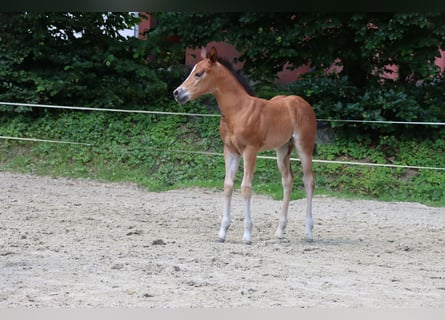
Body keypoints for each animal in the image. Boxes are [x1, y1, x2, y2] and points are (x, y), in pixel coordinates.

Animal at [173, 46, 316, 244]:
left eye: (199, 73)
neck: (238, 111)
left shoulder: (250, 150)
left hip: (304, 147)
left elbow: (246, 188)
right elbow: (228, 186)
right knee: (287, 181)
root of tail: (302, 103)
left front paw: (247, 235)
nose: (177, 93)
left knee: (309, 181)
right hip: (282, 150)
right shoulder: (230, 150)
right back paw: (280, 230)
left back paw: (309, 232)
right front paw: (222, 233)